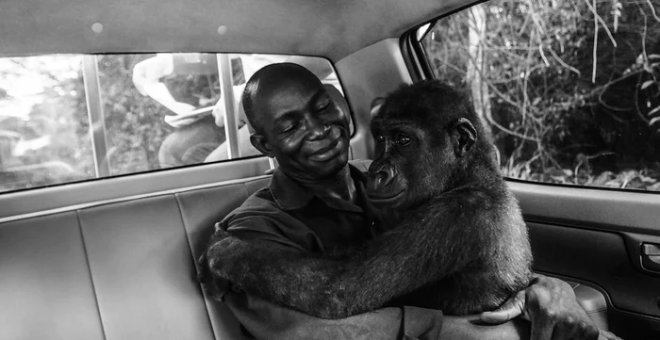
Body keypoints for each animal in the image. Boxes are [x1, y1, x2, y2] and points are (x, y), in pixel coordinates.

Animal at [209, 79, 532, 316]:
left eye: (403, 139)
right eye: (380, 138)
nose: (377, 170)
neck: (467, 176)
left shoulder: (454, 216)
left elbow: (338, 287)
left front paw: (230, 252)